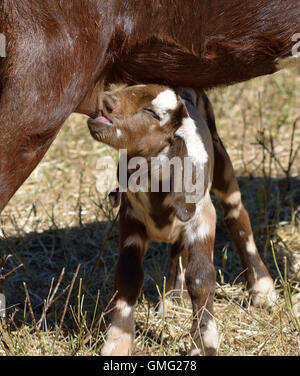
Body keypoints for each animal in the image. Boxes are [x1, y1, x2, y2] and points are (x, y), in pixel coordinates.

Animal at [87, 84, 276, 356]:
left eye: (152, 113)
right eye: (129, 87)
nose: (105, 100)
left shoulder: (203, 219)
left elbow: (201, 278)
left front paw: (204, 342)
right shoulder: (131, 219)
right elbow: (127, 276)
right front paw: (118, 342)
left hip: (221, 162)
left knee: (237, 215)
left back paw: (262, 289)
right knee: (178, 250)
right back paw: (171, 301)